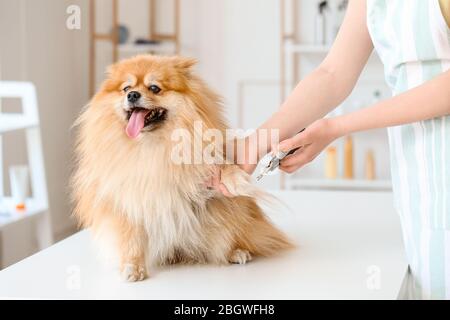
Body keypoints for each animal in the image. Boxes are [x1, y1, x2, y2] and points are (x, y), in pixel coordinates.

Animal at [71, 55, 292, 282]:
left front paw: (235, 178)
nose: (132, 95)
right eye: (126, 88)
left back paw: (236, 251)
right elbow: (131, 237)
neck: (152, 144)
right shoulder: (125, 200)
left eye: (154, 88)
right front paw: (133, 266)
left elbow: (222, 166)